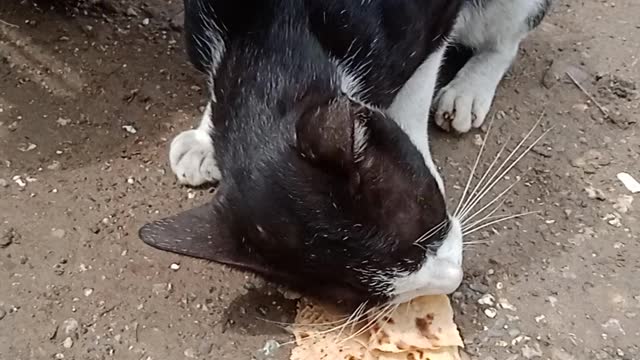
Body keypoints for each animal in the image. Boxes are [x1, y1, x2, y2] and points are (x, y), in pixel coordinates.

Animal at [140, 0, 552, 306]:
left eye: (430, 221)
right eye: (360, 295)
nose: (454, 279)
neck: (277, 36)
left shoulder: (434, 14)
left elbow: (419, 83)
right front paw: (204, 139)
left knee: (505, 39)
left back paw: (470, 88)